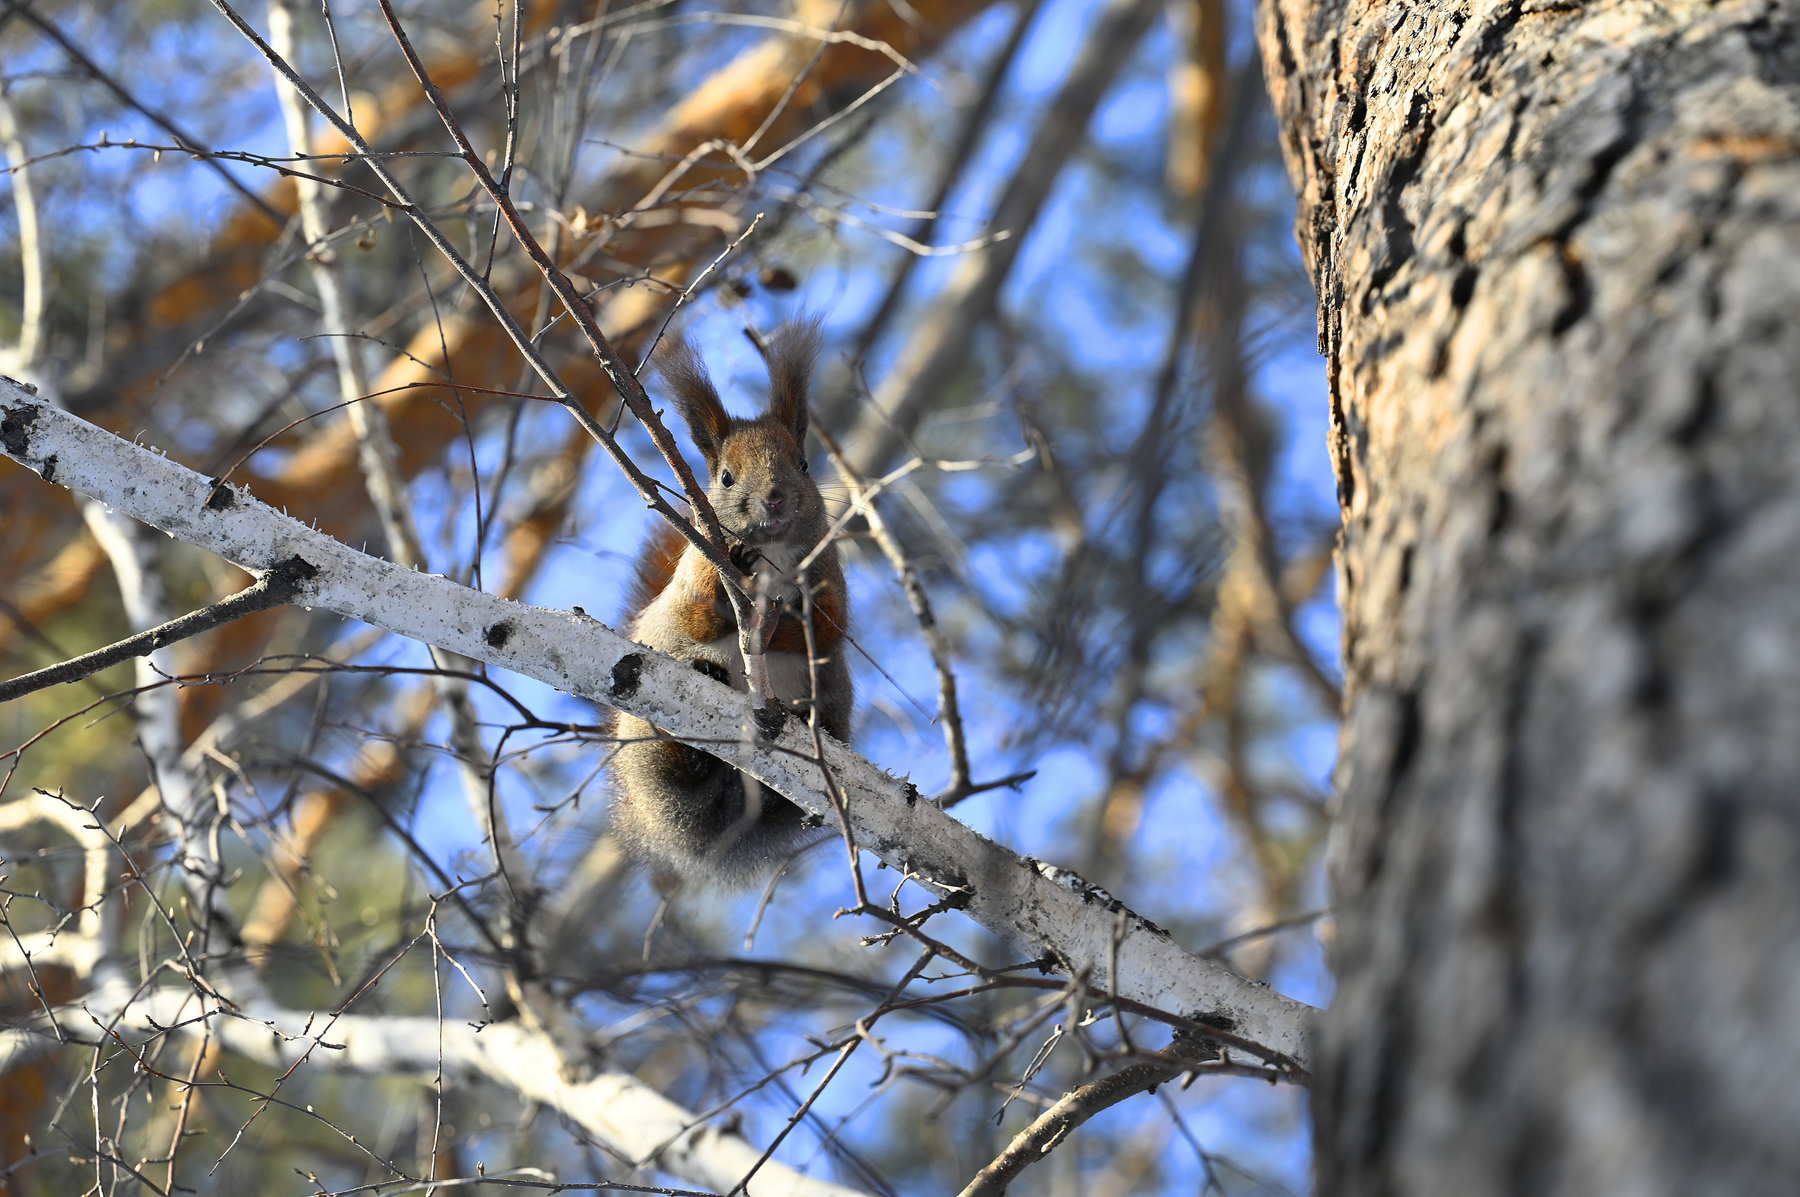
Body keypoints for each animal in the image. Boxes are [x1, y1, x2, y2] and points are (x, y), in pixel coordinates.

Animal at [609, 321, 852, 882]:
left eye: (804, 464)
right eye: (725, 477)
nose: (776, 497)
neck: (772, 556)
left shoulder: (829, 578)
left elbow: (829, 626)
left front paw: (786, 622)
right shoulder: (691, 583)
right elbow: (697, 617)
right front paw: (739, 576)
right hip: (646, 746)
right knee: (678, 771)